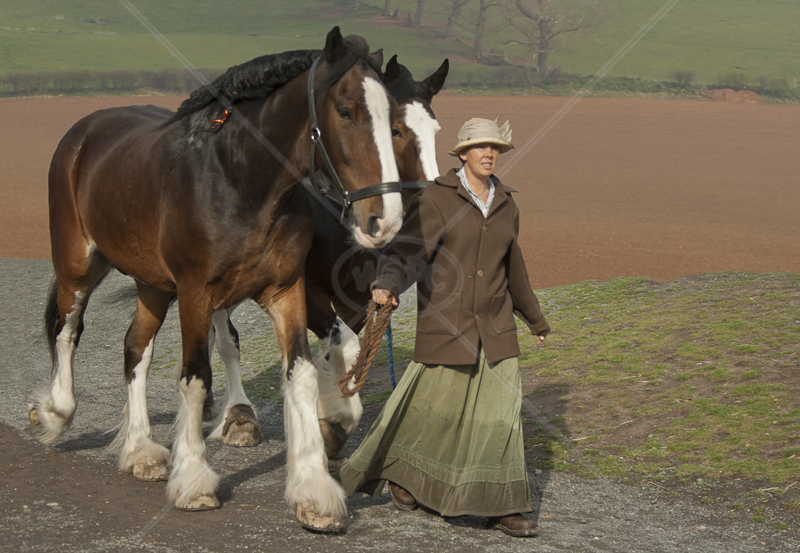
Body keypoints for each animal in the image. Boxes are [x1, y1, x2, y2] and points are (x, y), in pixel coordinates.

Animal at [28, 27, 404, 532]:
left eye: (393, 120)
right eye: (345, 111)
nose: (384, 219)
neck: (239, 180)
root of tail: (84, 131)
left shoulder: (285, 290)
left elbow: (303, 372)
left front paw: (314, 488)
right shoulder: (196, 293)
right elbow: (196, 377)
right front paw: (193, 481)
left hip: (152, 285)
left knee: (135, 348)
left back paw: (140, 450)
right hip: (78, 264)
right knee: (68, 330)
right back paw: (54, 414)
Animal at [205, 55, 450, 466]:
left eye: (435, 128)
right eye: (396, 131)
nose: (437, 202)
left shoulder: (358, 298)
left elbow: (340, 350)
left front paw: (329, 413)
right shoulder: (304, 288)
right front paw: (333, 420)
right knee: (224, 339)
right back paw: (237, 417)